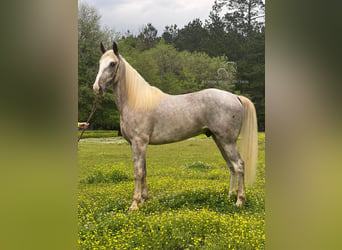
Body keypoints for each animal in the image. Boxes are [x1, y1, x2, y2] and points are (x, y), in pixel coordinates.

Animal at [92, 42, 258, 210]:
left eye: (112, 64)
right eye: (99, 63)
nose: (96, 88)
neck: (136, 101)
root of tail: (235, 97)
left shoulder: (138, 143)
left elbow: (138, 172)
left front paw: (135, 204)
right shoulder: (141, 145)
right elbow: (144, 171)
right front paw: (145, 200)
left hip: (228, 141)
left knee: (239, 165)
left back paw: (239, 201)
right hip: (219, 140)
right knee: (231, 167)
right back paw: (230, 196)